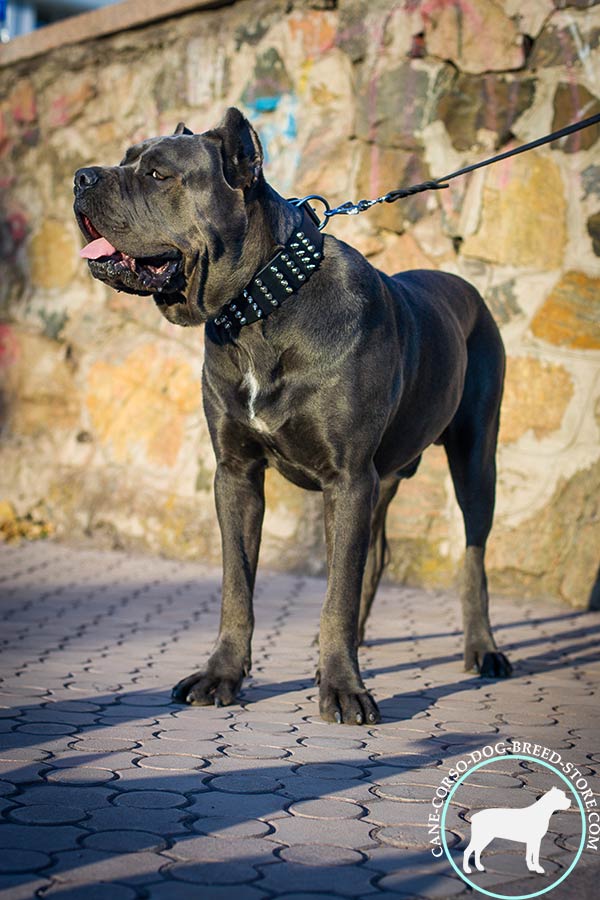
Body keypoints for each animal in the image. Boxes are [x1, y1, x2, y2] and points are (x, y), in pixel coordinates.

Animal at [71, 107, 510, 724]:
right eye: (124, 157)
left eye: (157, 174)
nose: (81, 177)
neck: (259, 309)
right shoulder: (237, 474)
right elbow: (239, 584)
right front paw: (222, 674)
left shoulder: (347, 478)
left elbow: (336, 589)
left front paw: (344, 687)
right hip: (385, 477)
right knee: (374, 556)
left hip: (474, 459)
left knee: (472, 556)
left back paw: (482, 648)